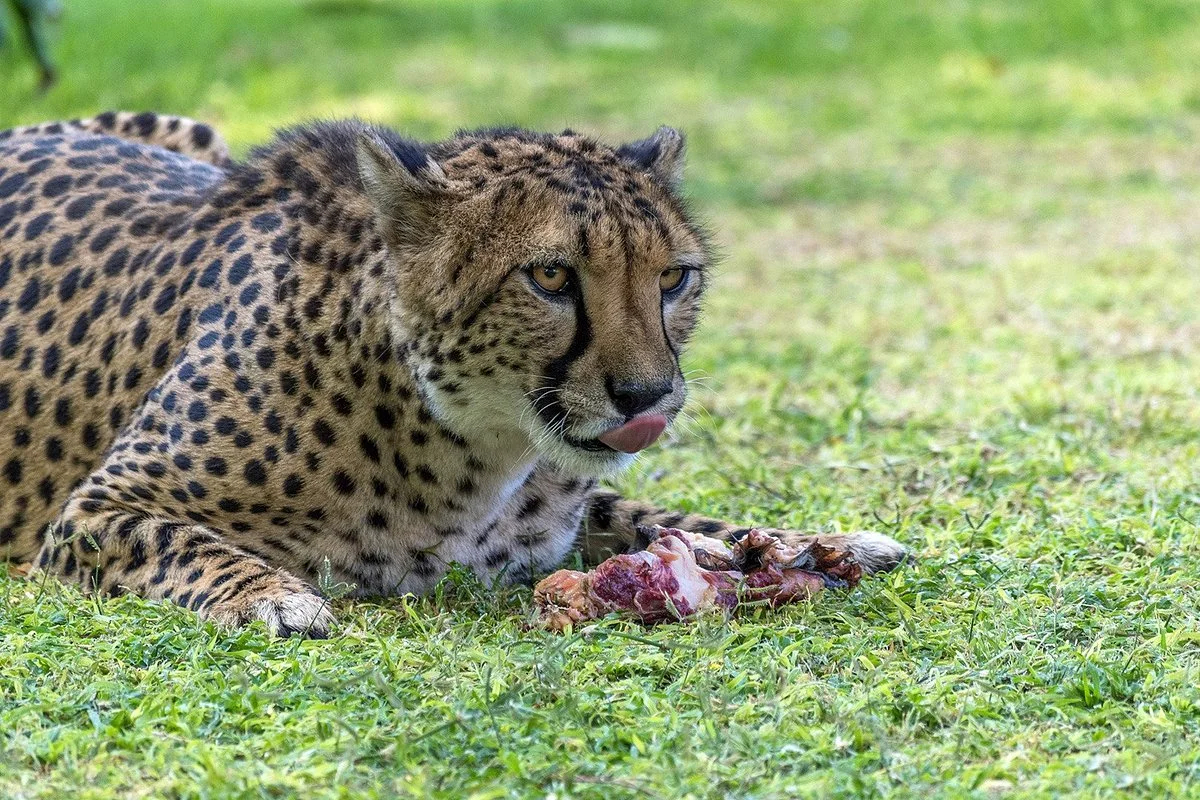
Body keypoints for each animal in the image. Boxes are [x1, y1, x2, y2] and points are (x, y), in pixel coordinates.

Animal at [0, 110, 907, 637]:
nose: (646, 396)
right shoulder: (91, 511)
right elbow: (184, 540)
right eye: (550, 277)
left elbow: (656, 513)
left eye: (673, 279)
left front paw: (805, 542)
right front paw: (273, 594)